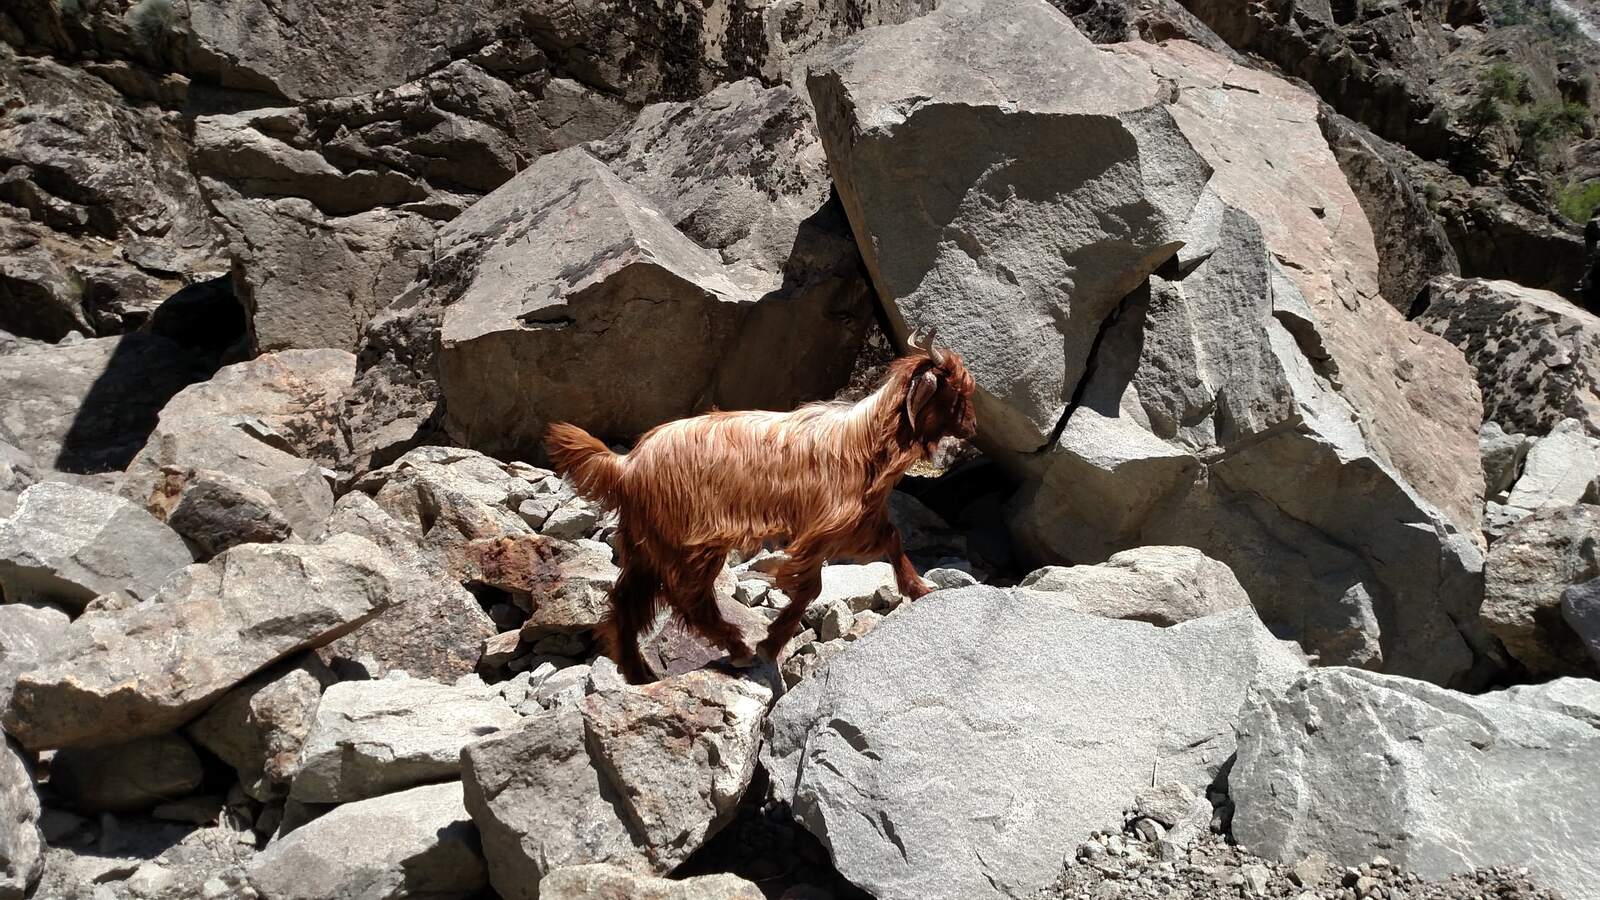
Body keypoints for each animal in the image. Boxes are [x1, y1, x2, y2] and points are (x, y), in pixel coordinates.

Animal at [544, 333, 978, 683]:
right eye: (955, 393)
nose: (973, 428)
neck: (863, 440)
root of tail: (627, 465)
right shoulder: (823, 526)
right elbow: (811, 587)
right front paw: (772, 643)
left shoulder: (859, 519)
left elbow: (891, 539)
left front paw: (919, 588)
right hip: (689, 543)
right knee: (689, 601)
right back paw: (738, 650)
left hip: (646, 544)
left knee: (627, 603)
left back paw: (638, 672)